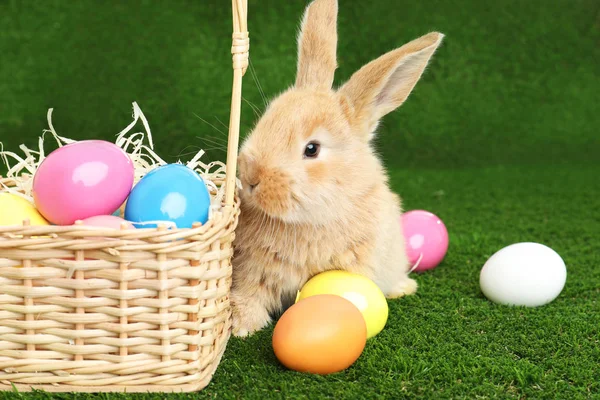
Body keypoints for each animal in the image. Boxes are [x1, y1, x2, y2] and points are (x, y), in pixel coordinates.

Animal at [232, 0, 442, 338]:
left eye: (312, 149)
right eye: (266, 119)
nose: (251, 177)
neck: (308, 220)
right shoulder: (251, 269)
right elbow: (250, 293)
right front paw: (242, 325)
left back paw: (404, 287)